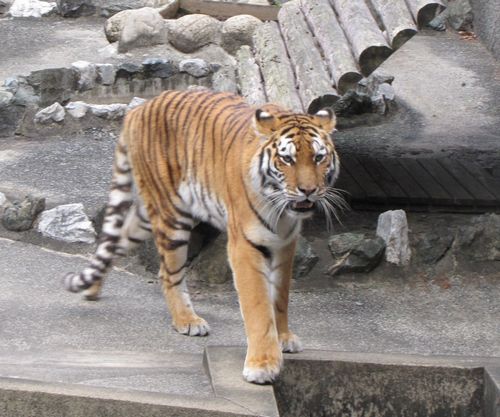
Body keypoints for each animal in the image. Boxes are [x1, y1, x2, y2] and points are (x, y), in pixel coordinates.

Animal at [63, 89, 344, 382]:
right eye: (287, 159)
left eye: (319, 157)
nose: (308, 191)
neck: (282, 212)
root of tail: (139, 109)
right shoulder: (245, 246)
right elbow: (258, 306)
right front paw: (262, 364)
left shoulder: (286, 244)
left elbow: (280, 299)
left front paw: (284, 338)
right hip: (171, 214)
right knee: (169, 273)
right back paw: (187, 321)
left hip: (149, 216)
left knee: (115, 241)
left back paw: (92, 289)